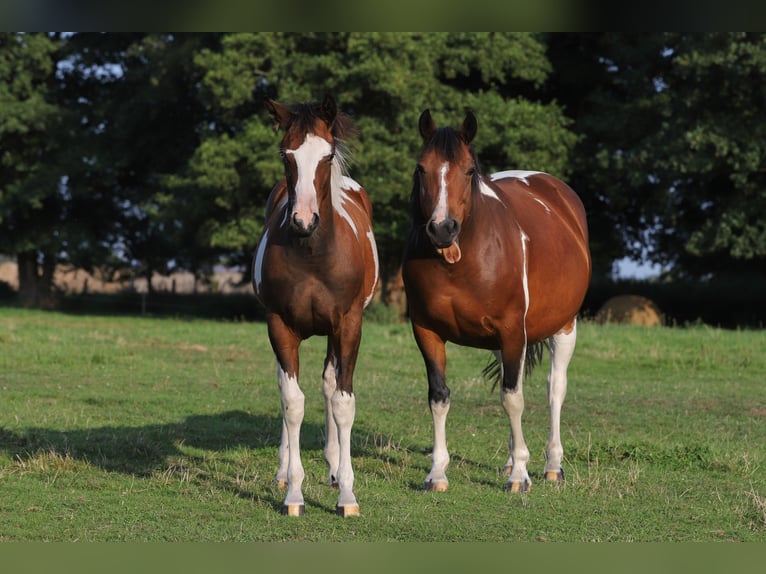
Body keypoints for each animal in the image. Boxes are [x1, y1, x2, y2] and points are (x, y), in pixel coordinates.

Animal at [253, 95, 379, 516]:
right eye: (286, 154)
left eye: (327, 156)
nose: (303, 220)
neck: (312, 254)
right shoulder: (279, 325)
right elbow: (292, 401)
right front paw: (293, 492)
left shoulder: (348, 325)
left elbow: (342, 401)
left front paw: (347, 495)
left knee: (328, 384)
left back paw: (335, 467)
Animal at [402, 109, 591, 493]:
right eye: (421, 168)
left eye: (468, 170)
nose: (442, 228)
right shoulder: (426, 331)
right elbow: (439, 396)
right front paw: (437, 473)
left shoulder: (513, 331)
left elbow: (513, 398)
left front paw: (520, 475)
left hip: (564, 327)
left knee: (554, 389)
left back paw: (552, 465)